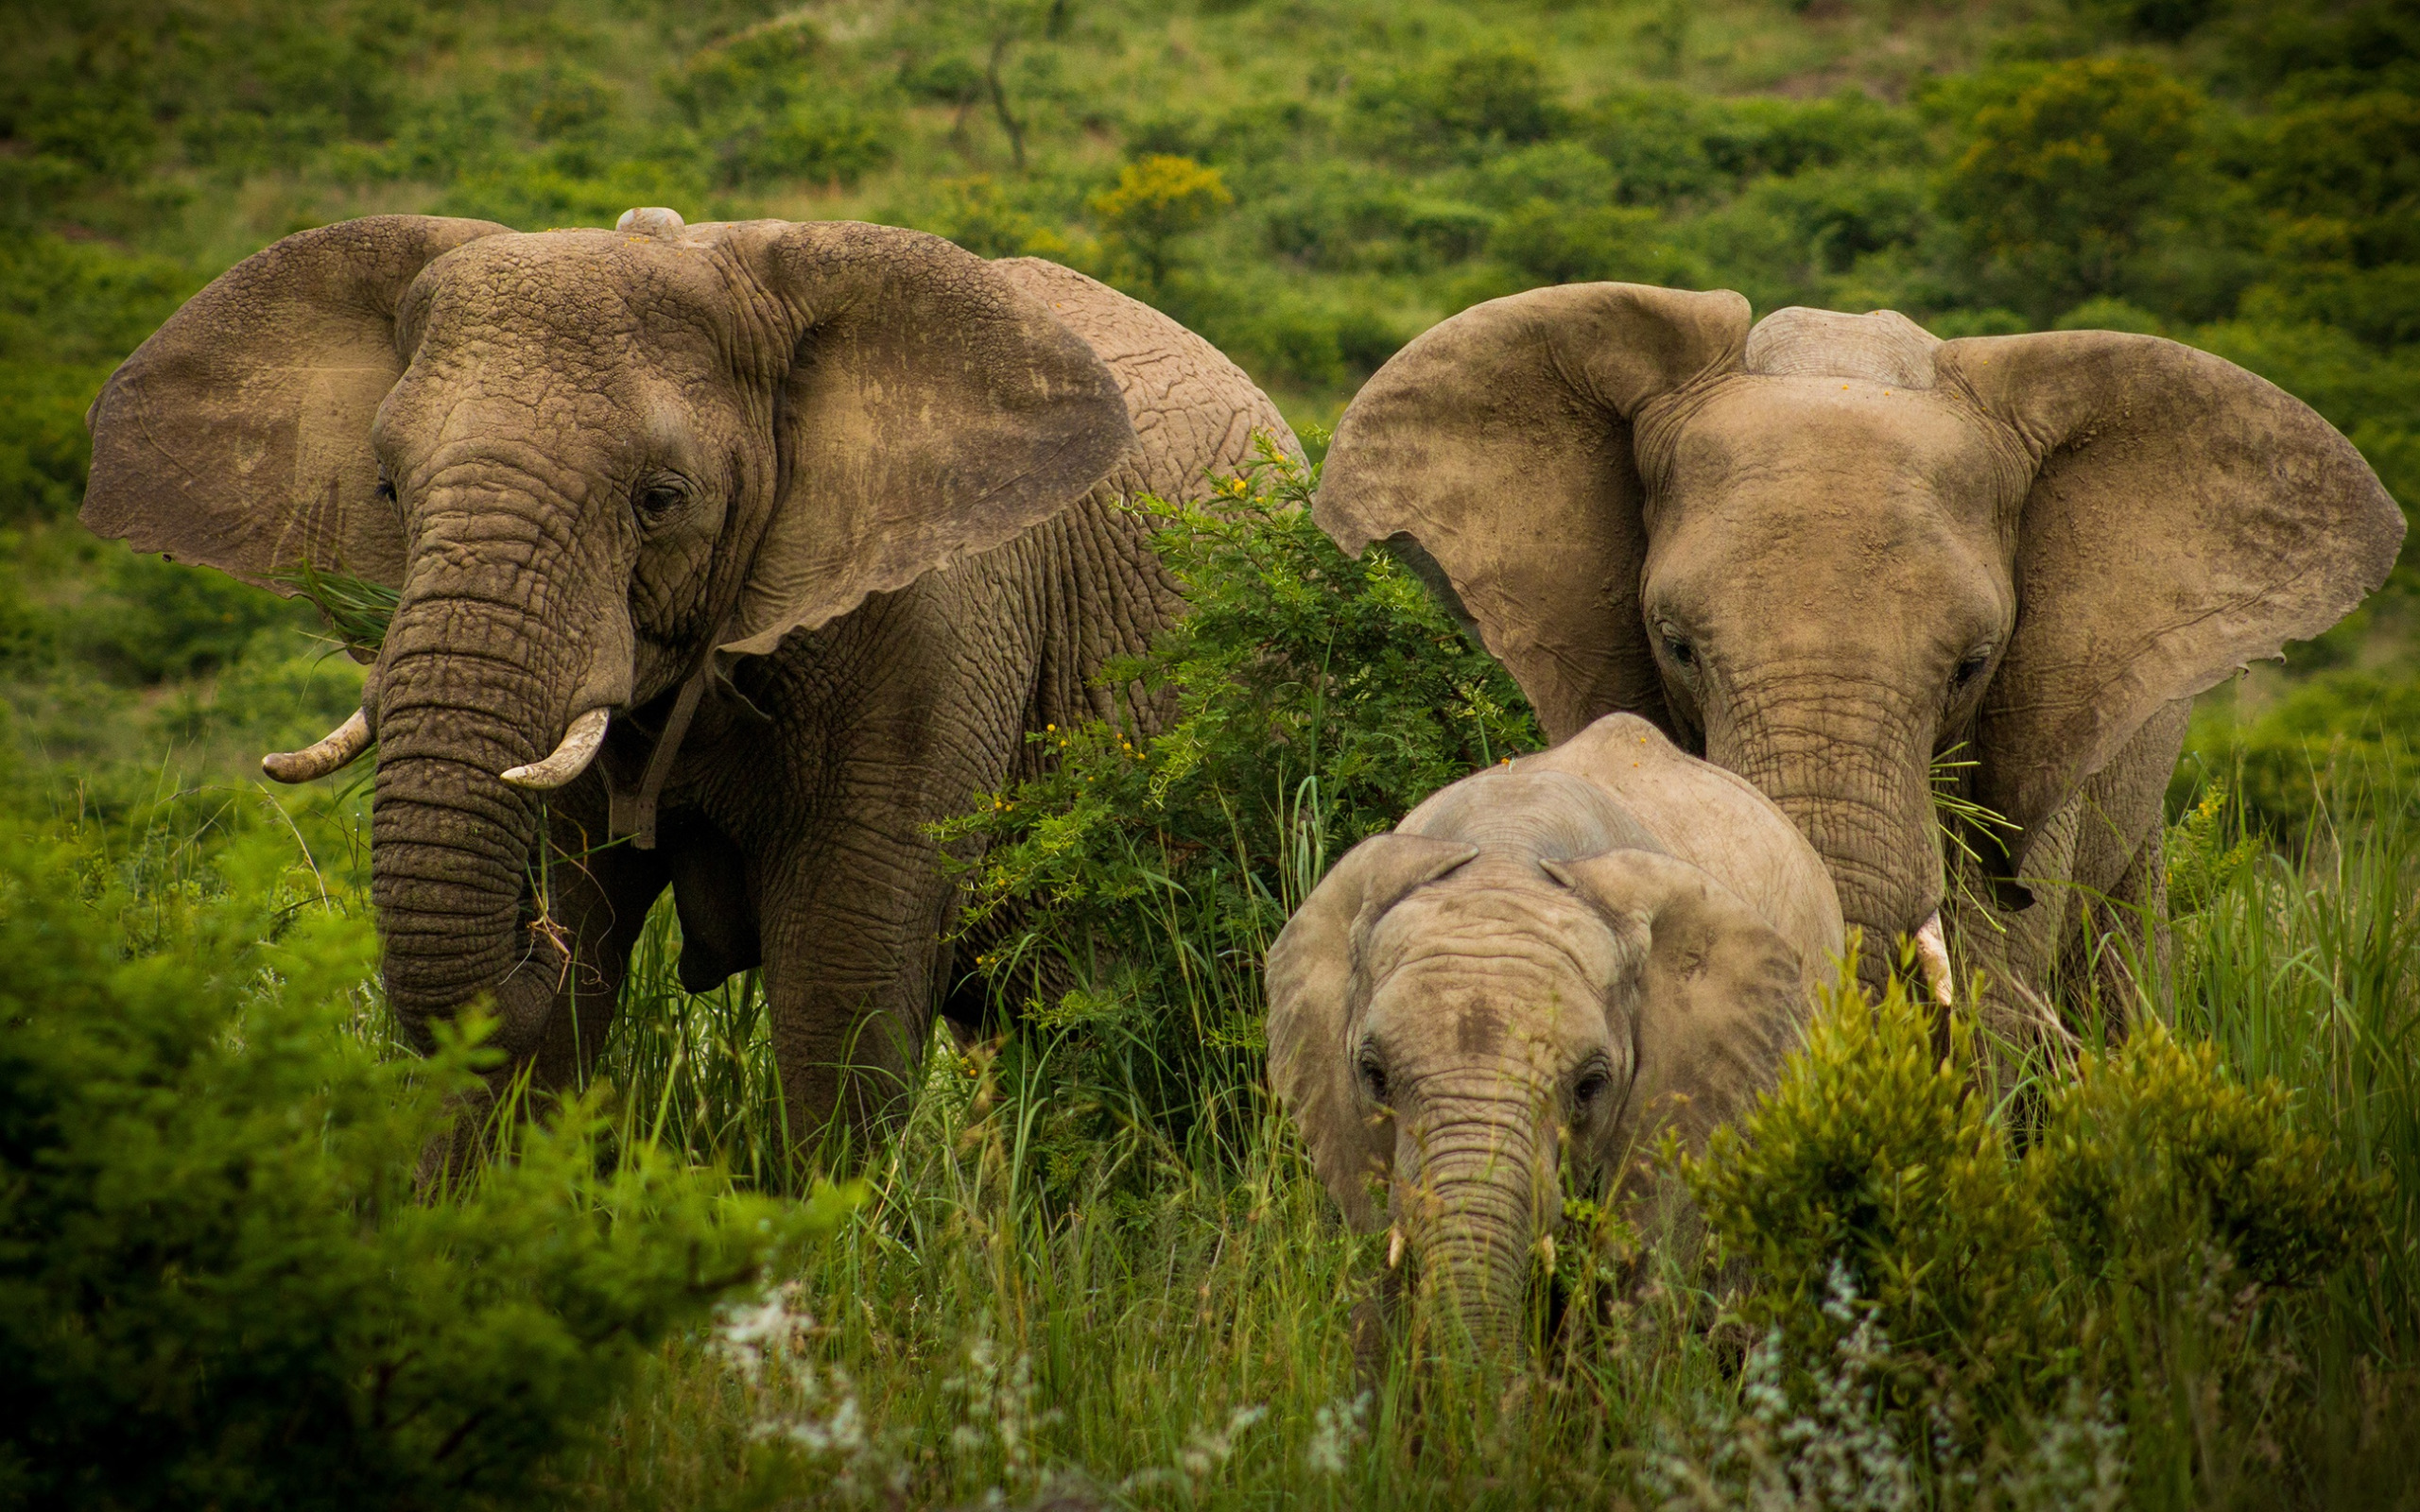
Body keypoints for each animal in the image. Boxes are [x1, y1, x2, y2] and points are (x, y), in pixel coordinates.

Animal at [85, 206, 1297, 1151]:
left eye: (660, 499)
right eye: (387, 487)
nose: (532, 930)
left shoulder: (944, 619)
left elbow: (843, 980)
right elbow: (560, 1009)